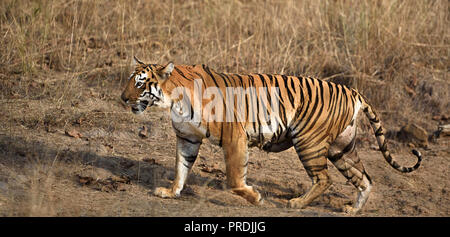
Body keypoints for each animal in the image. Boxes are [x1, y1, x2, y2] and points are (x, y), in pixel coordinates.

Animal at [120, 56, 422, 214]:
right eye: (129, 81)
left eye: (139, 84)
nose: (122, 98)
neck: (174, 100)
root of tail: (352, 91)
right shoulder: (187, 138)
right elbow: (181, 168)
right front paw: (171, 193)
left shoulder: (235, 136)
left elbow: (234, 178)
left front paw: (256, 197)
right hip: (342, 149)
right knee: (365, 179)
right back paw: (352, 209)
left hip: (309, 142)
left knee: (324, 179)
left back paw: (296, 203)